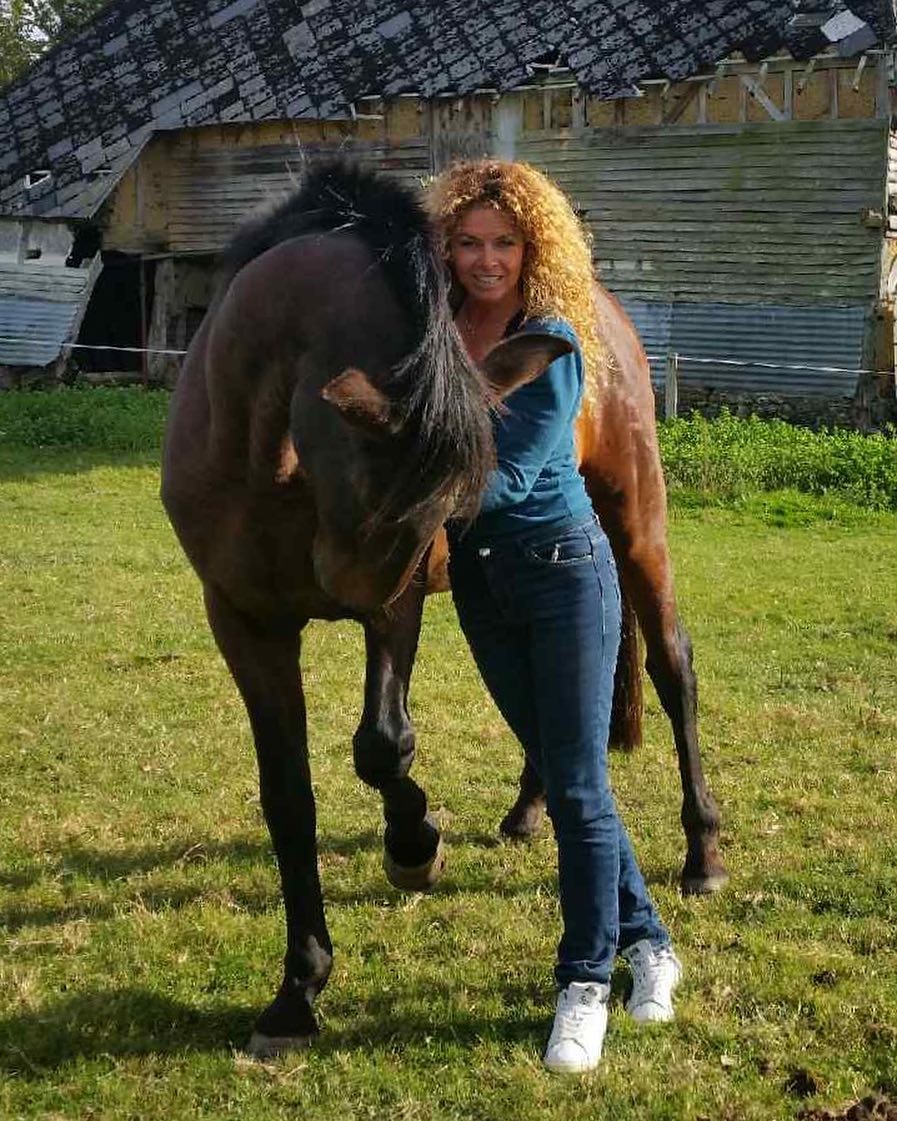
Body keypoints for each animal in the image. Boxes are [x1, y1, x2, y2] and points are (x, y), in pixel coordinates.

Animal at [161, 161, 574, 1056]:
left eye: (435, 514)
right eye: (386, 496)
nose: (336, 586)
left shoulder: (396, 601)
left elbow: (385, 747)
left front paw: (414, 848)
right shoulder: (245, 622)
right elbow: (288, 795)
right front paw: (297, 990)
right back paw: (530, 810)